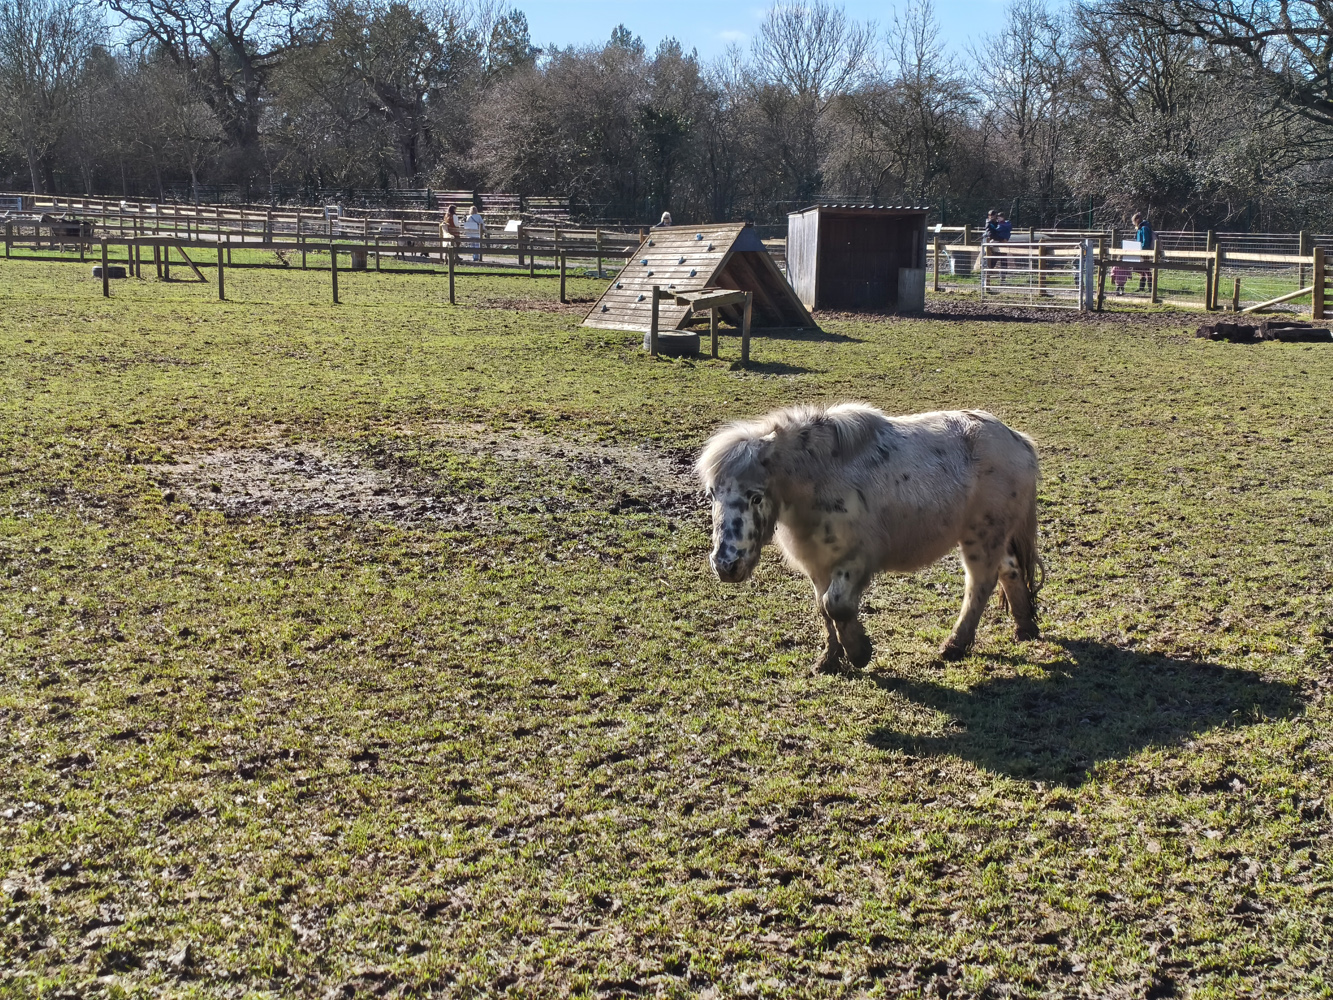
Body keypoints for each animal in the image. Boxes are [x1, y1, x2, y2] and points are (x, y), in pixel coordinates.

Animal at [696, 403, 1044, 671]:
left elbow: (836, 605)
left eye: (755, 497)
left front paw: (860, 653)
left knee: (980, 584)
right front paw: (828, 661)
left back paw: (954, 646)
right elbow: (823, 609)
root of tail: (1020, 441)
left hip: (980, 537)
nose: (725, 566)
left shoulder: (856, 560)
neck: (819, 477)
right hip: (993, 536)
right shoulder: (818, 564)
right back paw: (1025, 628)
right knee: (1010, 570)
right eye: (713, 494)